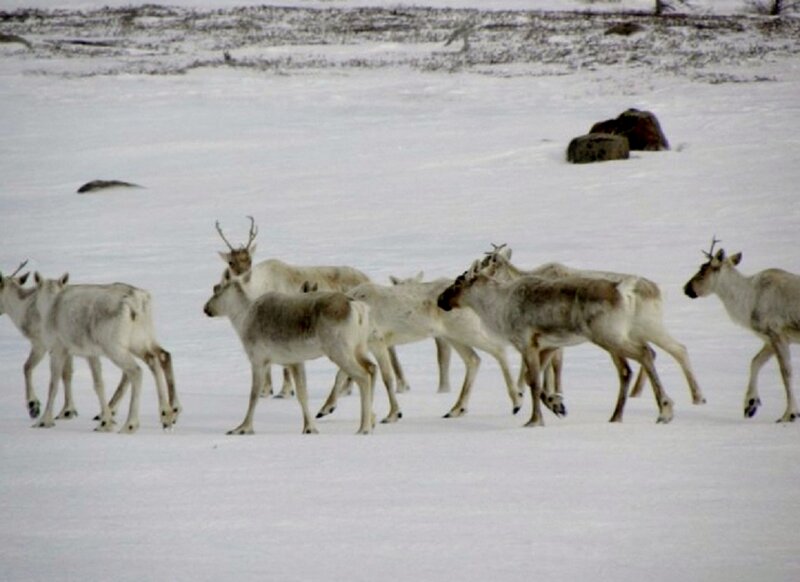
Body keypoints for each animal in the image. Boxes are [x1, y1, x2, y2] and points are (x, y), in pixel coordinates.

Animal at [32, 273, 179, 433]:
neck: (51, 303)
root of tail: (137, 302)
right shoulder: (91, 354)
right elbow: (98, 384)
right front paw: (105, 422)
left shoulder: (57, 348)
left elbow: (53, 385)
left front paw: (44, 420)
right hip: (140, 341)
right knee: (159, 358)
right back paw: (167, 415)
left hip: (114, 348)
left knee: (136, 371)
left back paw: (130, 425)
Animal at [203, 270, 376, 435]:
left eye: (216, 289)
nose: (206, 309)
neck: (244, 316)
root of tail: (356, 306)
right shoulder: (295, 362)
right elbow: (302, 394)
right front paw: (309, 428)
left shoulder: (258, 360)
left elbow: (254, 395)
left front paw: (242, 428)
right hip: (358, 348)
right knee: (371, 368)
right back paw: (370, 420)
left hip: (338, 351)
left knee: (363, 376)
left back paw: (363, 428)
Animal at [437, 260, 675, 427]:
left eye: (458, 282)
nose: (440, 300)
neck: (495, 306)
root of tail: (622, 290)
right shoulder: (547, 346)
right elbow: (534, 382)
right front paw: (557, 405)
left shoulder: (527, 344)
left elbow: (533, 382)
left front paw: (534, 421)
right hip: (617, 337)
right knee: (631, 367)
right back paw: (616, 417)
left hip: (608, 337)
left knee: (645, 353)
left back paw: (664, 411)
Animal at [481, 244, 705, 408]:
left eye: (486, 264)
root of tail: (656, 290)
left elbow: (552, 366)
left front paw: (539, 394)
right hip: (636, 331)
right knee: (656, 351)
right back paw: (640, 394)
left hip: (644, 328)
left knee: (674, 350)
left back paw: (696, 397)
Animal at [684, 238, 800, 422]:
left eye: (702, 270)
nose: (686, 288)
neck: (748, 301)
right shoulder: (771, 339)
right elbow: (755, 362)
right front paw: (750, 405)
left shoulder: (777, 333)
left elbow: (786, 373)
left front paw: (789, 414)